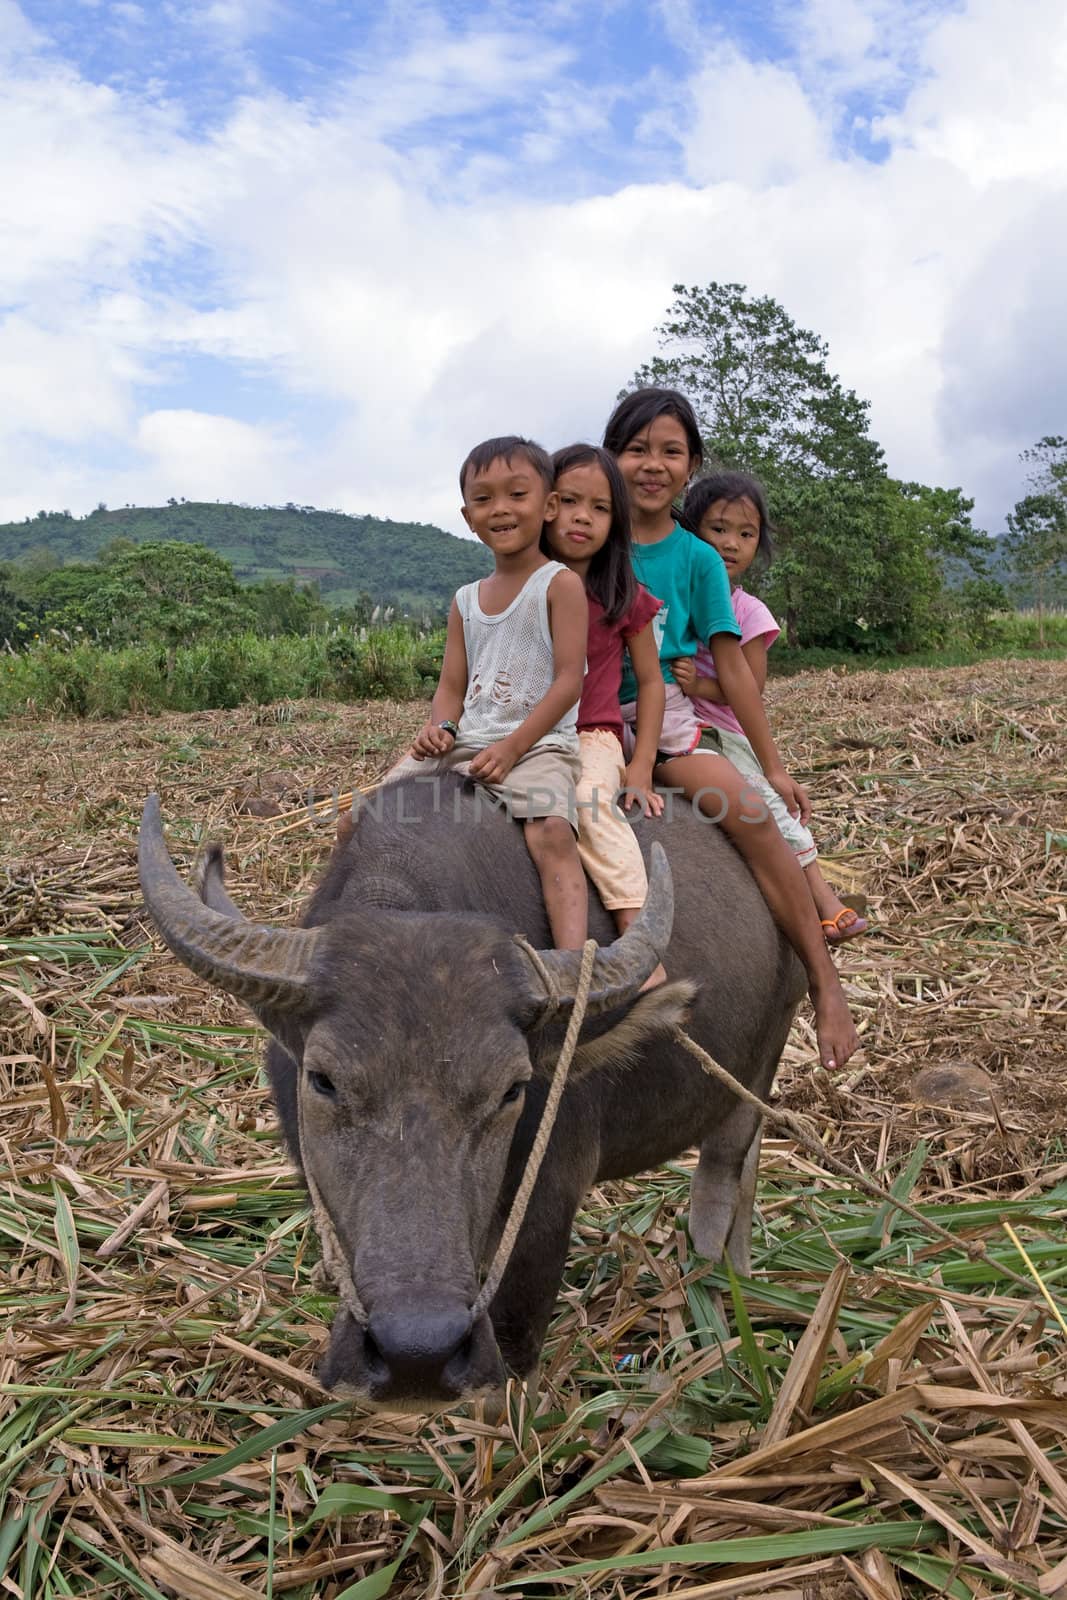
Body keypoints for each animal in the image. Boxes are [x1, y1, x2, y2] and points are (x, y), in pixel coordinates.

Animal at [139, 768, 799, 1408]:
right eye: (322, 1080)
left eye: (512, 1089)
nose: (416, 1353)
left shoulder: (546, 1207)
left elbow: (512, 1359)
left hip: (762, 1060)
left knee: (725, 1175)